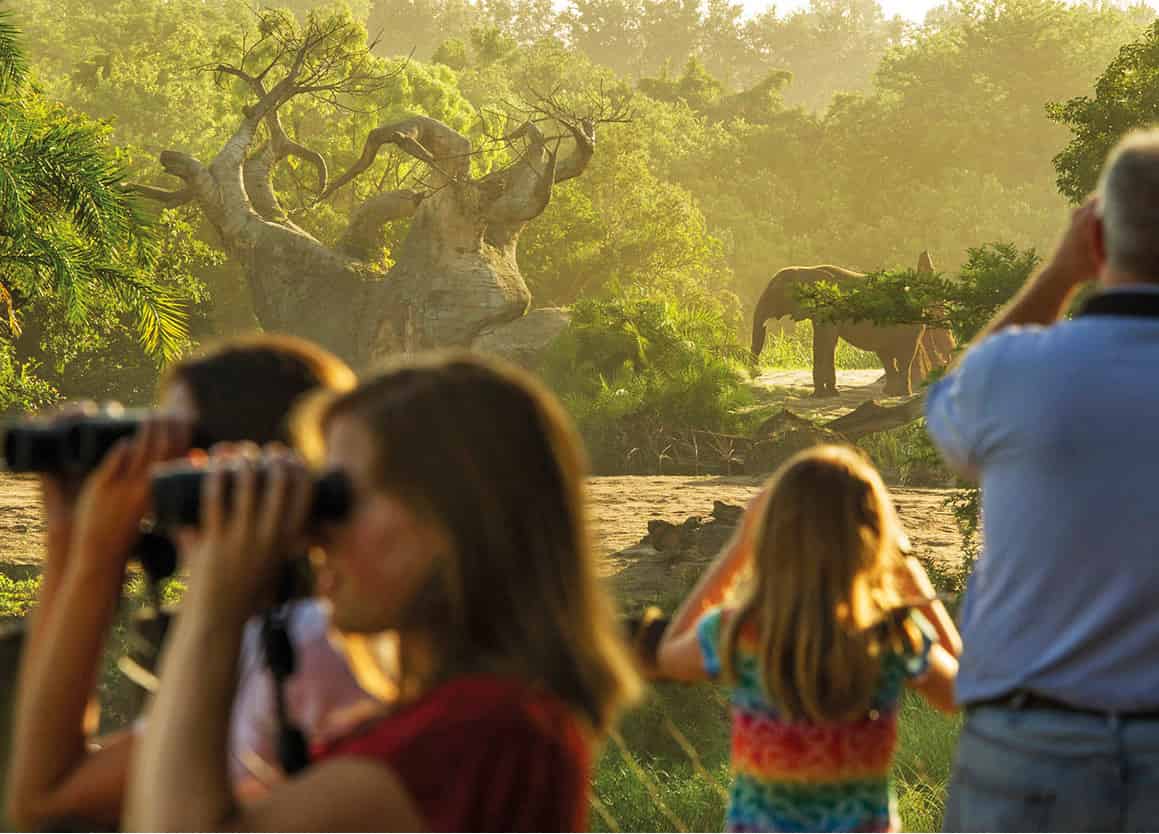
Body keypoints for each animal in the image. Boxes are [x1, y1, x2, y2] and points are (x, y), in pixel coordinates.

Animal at [751, 251, 959, 398]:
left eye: (773, 294)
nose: (757, 373)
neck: (807, 269)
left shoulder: (829, 308)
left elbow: (824, 344)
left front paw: (820, 396)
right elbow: (827, 344)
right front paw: (829, 394)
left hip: (911, 326)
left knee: (904, 356)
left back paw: (901, 394)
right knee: (886, 355)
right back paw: (890, 393)